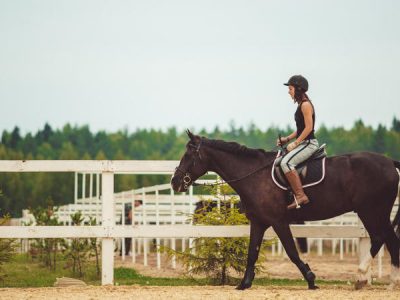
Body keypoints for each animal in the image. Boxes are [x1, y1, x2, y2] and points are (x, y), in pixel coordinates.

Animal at [171, 130, 400, 290]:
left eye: (188, 154)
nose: (175, 182)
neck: (255, 175)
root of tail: (390, 162)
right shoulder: (259, 222)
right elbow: (252, 253)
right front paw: (244, 283)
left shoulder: (278, 221)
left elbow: (291, 251)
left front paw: (311, 280)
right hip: (374, 213)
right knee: (387, 240)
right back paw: (386, 282)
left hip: (372, 212)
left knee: (383, 239)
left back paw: (364, 277)